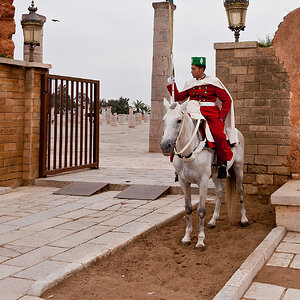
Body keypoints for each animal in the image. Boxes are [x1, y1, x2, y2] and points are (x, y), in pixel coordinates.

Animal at [159, 99, 248, 250]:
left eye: (179, 120)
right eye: (164, 120)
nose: (165, 145)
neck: (188, 152)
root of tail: (235, 131)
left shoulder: (203, 181)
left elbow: (201, 210)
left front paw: (200, 240)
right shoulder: (183, 181)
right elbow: (188, 209)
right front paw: (187, 237)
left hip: (238, 168)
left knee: (240, 190)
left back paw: (243, 219)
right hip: (216, 174)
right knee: (219, 191)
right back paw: (213, 220)